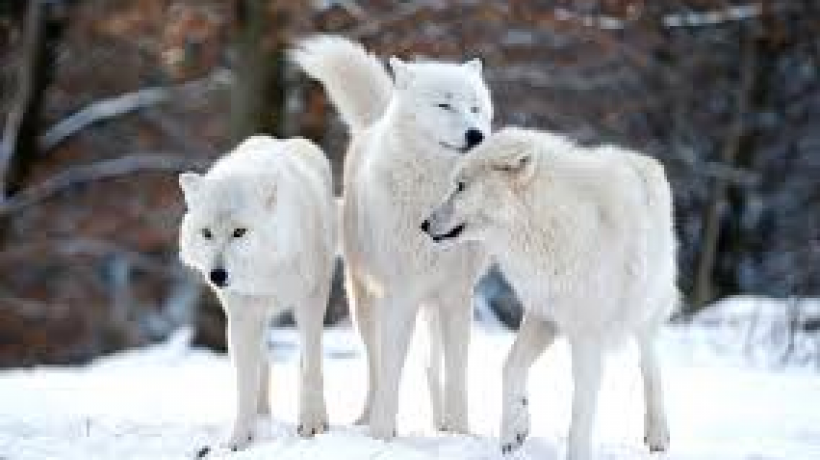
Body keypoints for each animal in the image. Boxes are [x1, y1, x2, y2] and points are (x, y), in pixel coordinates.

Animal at [178, 135, 335, 452]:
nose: (217, 275)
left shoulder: (311, 299)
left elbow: (311, 368)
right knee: (265, 364)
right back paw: (262, 418)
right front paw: (240, 440)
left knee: (302, 360)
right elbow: (245, 384)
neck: (266, 274)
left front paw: (313, 425)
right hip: (259, 319)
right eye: (206, 233)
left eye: (239, 232)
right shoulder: (242, 316)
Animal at [292, 35, 493, 439]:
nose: (476, 135)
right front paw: (383, 433)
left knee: (432, 365)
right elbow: (391, 369)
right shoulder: (402, 295)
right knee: (375, 363)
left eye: (475, 108)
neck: (433, 198)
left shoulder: (456, 296)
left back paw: (441, 423)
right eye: (444, 104)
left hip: (431, 309)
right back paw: (367, 417)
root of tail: (374, 122)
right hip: (366, 303)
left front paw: (460, 432)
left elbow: (458, 374)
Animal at [422, 127, 677, 460]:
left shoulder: (586, 336)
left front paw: (576, 453)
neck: (545, 224)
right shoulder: (542, 315)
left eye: (461, 186)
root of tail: (643, 158)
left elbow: (581, 409)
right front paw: (514, 430)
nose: (423, 224)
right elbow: (510, 367)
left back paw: (658, 434)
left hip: (643, 311)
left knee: (650, 364)